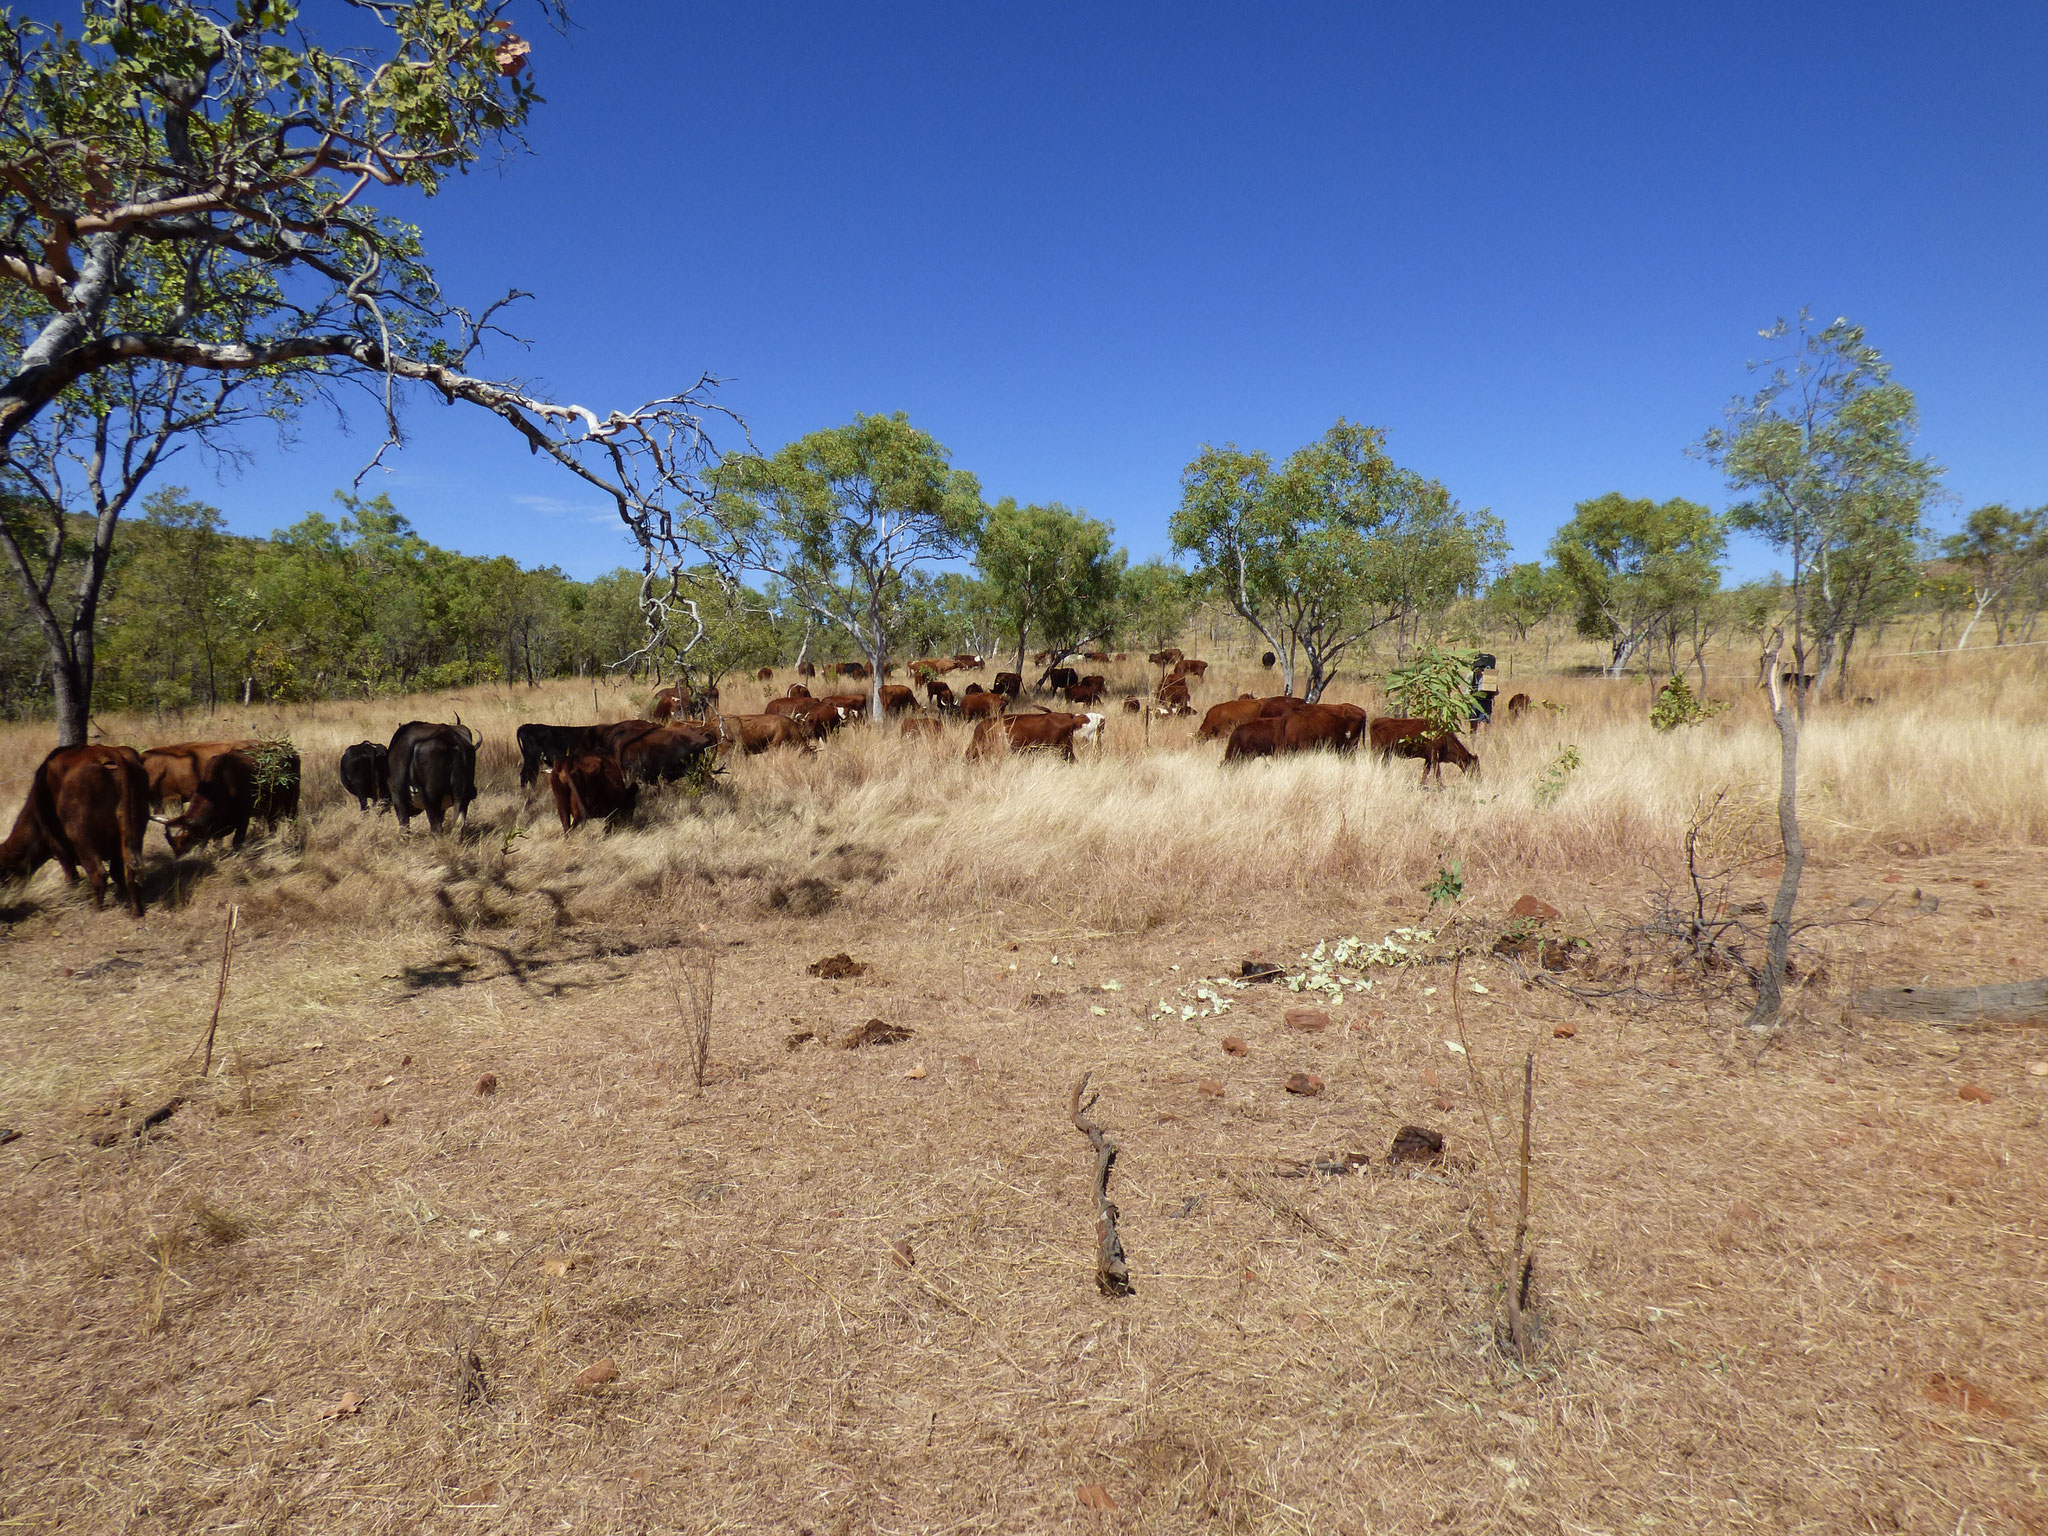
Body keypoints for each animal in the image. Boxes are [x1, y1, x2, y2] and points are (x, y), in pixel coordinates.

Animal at [0, 745, 148, 913]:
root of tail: (110, 753)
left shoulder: (59, 848)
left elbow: (72, 877)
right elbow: (117, 874)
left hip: (81, 837)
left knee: (98, 874)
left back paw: (95, 910)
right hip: (135, 829)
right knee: (129, 870)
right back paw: (135, 911)